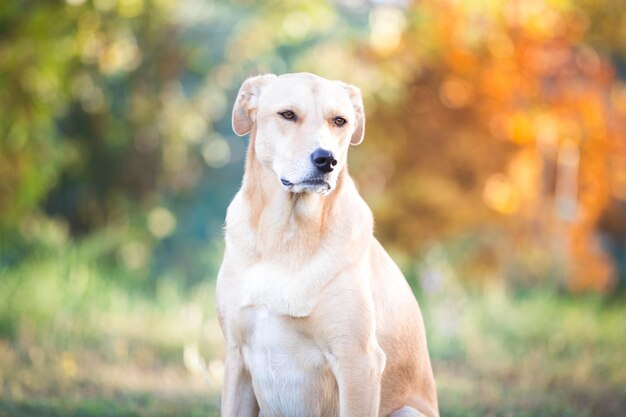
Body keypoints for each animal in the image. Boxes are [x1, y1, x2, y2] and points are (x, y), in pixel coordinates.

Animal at [217, 72, 436, 416]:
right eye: (288, 114)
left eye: (339, 121)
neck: (286, 238)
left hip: (408, 411)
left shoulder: (357, 361)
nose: (326, 160)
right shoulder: (236, 358)